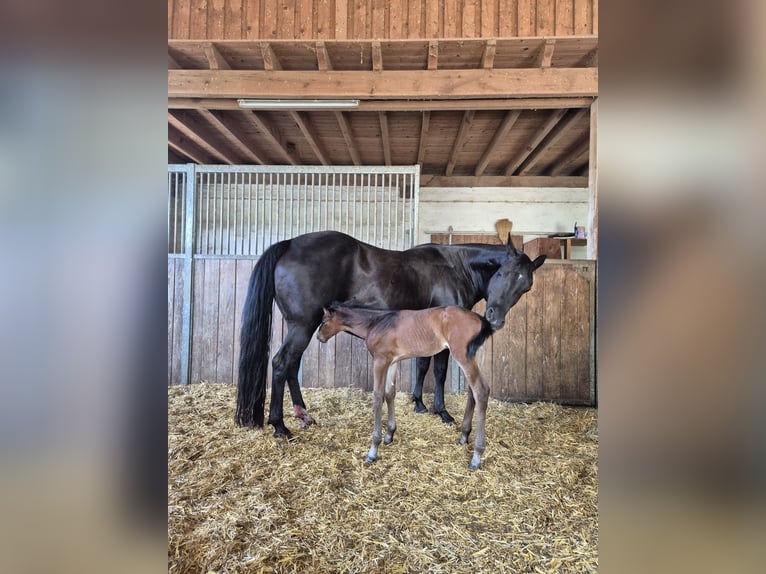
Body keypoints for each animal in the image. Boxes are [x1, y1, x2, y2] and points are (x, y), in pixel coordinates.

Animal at [236, 230, 545, 438]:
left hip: (302, 326)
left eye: (527, 286)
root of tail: (289, 244)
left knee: (291, 366)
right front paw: (442, 412)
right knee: (281, 364)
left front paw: (419, 404)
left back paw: (303, 416)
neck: (454, 267)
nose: (494, 318)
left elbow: (422, 366)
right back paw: (280, 426)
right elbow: (439, 372)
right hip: (302, 325)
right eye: (502, 273)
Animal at [316, 304, 497, 470]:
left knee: (481, 391)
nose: (319, 337)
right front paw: (389, 435)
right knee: (472, 391)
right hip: (473, 356)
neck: (377, 323)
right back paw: (464, 436)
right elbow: (389, 393)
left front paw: (373, 450)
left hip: (462, 356)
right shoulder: (392, 362)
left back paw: (476, 457)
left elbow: (377, 396)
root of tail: (481, 320)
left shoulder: (380, 361)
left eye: (324, 322)